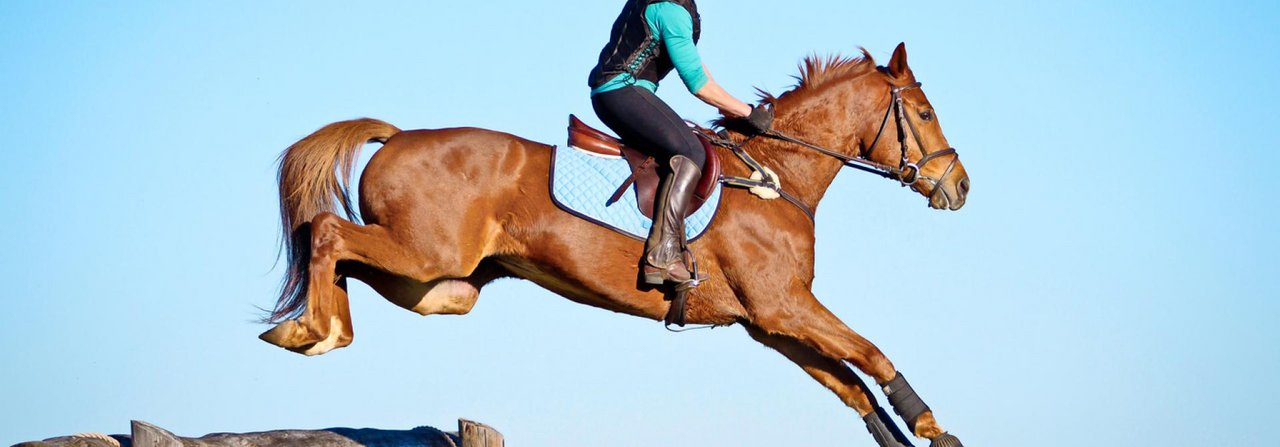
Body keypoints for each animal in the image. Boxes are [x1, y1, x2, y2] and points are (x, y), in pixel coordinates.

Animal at [264, 42, 972, 445]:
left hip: (439, 285)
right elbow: (871, 354)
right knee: (326, 231)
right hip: (428, 258)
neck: (777, 178)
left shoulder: (769, 322)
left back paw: (316, 324)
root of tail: (399, 135)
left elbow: (851, 385)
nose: (959, 186)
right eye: (926, 113)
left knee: (345, 255)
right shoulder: (783, 307)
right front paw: (931, 425)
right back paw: (312, 329)